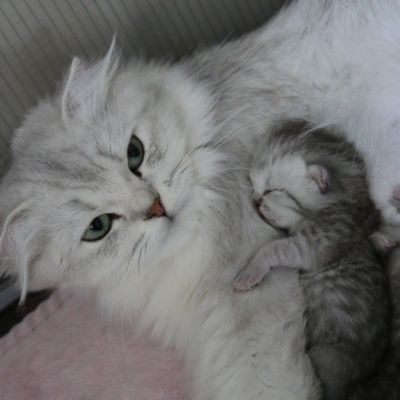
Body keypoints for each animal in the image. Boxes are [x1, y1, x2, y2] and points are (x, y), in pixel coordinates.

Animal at [234, 121, 390, 400]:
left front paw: (250, 271)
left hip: (327, 354)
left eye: (273, 190)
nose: (255, 200)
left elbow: (273, 248)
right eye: (253, 184)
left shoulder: (318, 242)